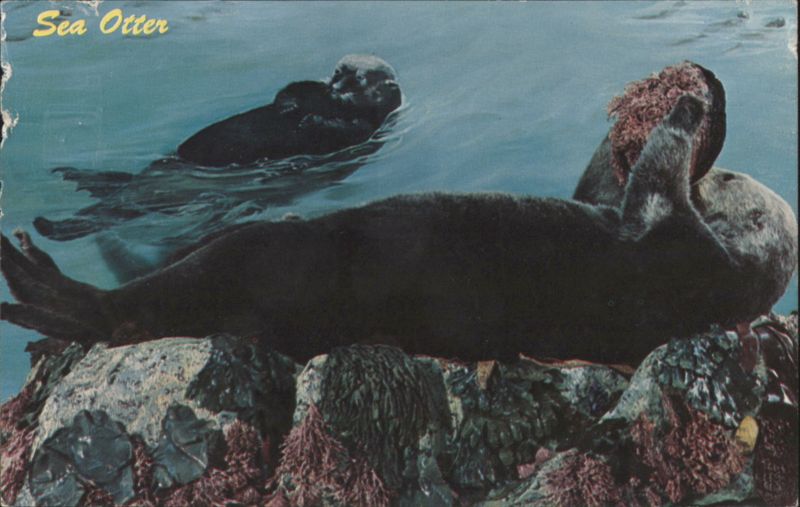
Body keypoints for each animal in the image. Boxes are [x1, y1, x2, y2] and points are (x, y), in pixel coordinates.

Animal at [3, 96, 795, 365]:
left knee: (130, 310)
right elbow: (601, 185)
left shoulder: (678, 245)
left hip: (268, 259)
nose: (719, 167)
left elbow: (658, 179)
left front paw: (688, 108)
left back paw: (44, 291)